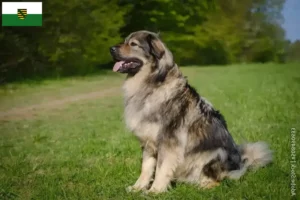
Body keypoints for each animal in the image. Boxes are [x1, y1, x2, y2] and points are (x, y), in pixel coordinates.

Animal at [109, 30, 274, 194]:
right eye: (125, 41)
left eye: (133, 44)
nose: (111, 49)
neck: (153, 84)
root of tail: (241, 163)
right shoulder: (148, 142)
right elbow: (146, 167)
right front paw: (138, 187)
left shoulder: (169, 143)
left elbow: (162, 168)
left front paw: (155, 191)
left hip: (215, 153)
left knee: (219, 180)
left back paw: (203, 186)